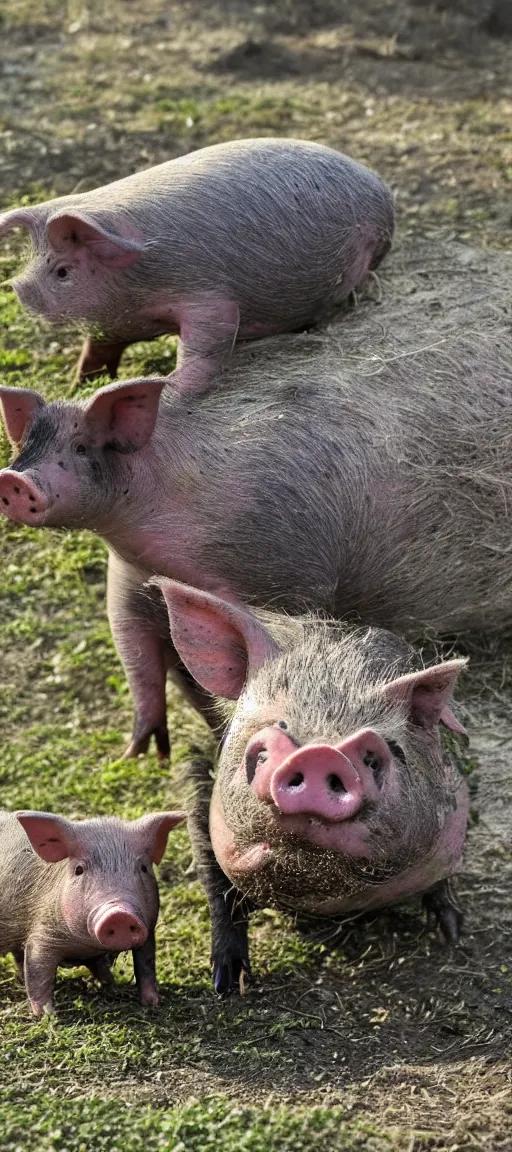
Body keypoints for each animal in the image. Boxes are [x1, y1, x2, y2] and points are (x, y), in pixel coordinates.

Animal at [0, 134, 392, 387]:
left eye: (63, 271)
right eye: (32, 263)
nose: (18, 288)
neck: (137, 291)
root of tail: (380, 186)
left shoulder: (205, 293)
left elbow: (210, 341)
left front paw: (168, 385)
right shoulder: (115, 322)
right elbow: (97, 350)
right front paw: (77, 386)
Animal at [0, 806, 185, 1013]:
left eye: (144, 868)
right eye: (79, 870)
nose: (119, 915)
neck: (87, 947)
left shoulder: (148, 931)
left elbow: (146, 966)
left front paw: (150, 1002)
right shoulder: (42, 933)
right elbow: (38, 971)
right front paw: (46, 1014)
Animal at [1, 317, 512, 764]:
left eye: (81, 447)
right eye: (25, 444)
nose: (13, 479)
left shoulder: (288, 575)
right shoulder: (128, 578)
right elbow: (136, 655)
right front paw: (144, 752)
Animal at [157, 580, 470, 995]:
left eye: (387, 751)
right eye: (274, 726)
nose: (320, 752)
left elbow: (441, 885)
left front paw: (452, 936)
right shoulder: (202, 811)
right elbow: (220, 895)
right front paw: (226, 984)